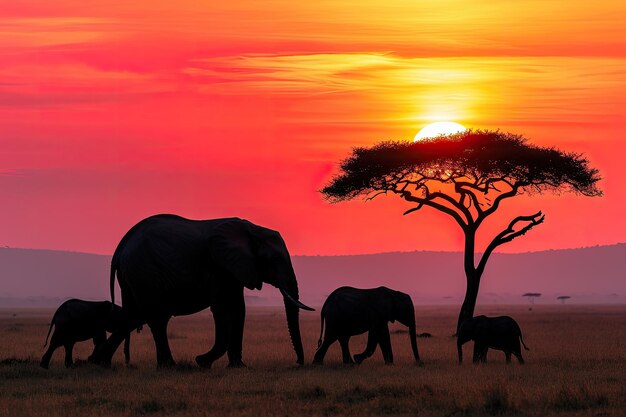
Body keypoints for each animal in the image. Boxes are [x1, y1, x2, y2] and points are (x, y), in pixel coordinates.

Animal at [89, 214, 312, 368]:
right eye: (273, 260)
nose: (297, 362)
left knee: (131, 315)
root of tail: (120, 249)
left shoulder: (233, 268)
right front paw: (202, 361)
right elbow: (223, 309)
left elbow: (239, 309)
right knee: (155, 317)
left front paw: (238, 367)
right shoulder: (218, 268)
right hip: (144, 272)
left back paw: (98, 362)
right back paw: (170, 366)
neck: (251, 228)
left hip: (133, 276)